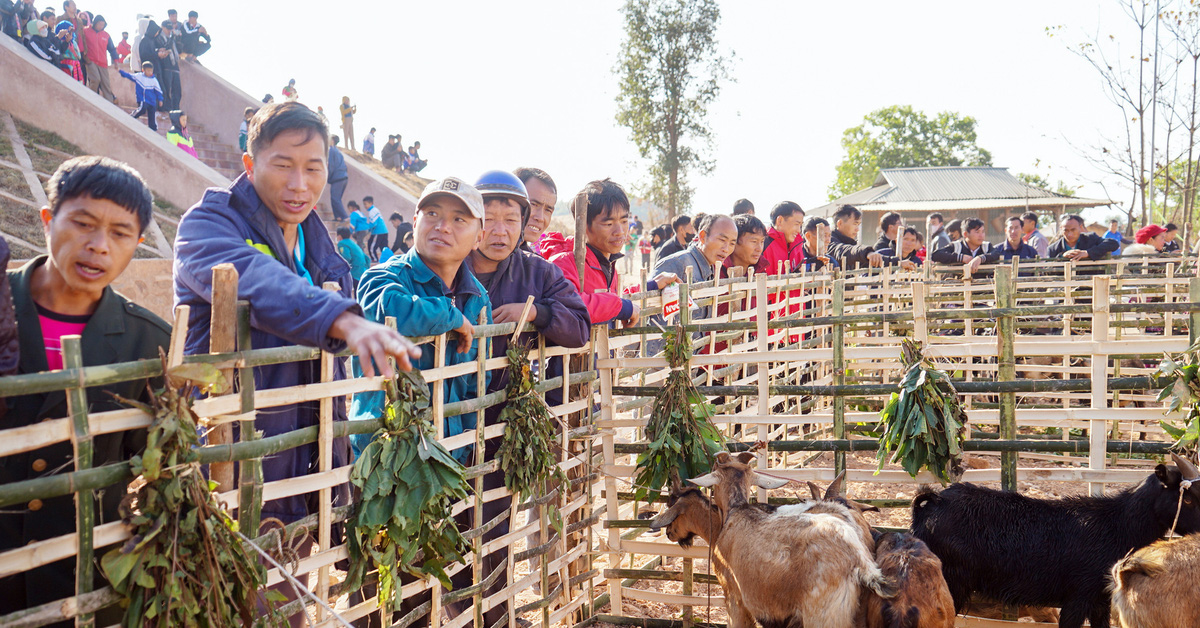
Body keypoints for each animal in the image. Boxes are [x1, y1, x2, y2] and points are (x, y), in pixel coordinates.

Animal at [652, 451, 897, 628]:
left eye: (672, 502)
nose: (669, 533)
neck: (735, 513)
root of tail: (859, 561)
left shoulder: (735, 599)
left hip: (824, 616)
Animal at [907, 451, 1200, 628]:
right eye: (1187, 498)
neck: (1116, 524)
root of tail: (933, 502)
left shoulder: (1099, 600)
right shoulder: (1078, 597)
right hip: (950, 583)